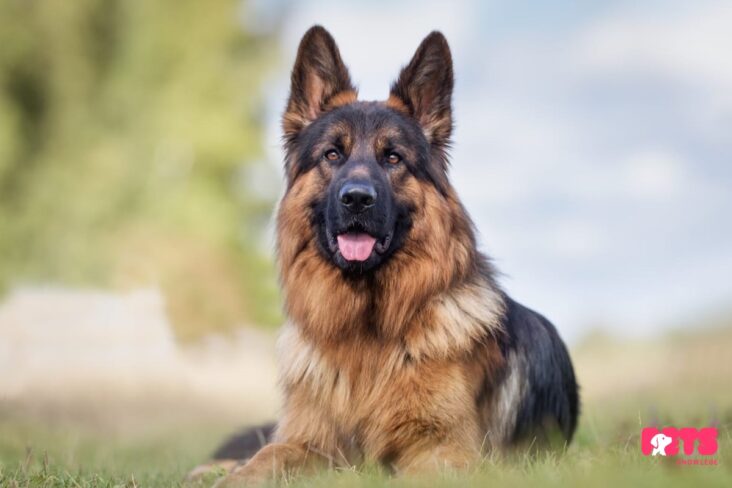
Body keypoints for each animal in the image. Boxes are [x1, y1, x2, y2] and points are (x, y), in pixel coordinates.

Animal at [194, 25, 576, 484]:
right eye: (332, 154)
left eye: (392, 157)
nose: (357, 199)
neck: (366, 334)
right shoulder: (309, 441)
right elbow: (264, 457)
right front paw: (233, 475)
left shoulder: (446, 451)